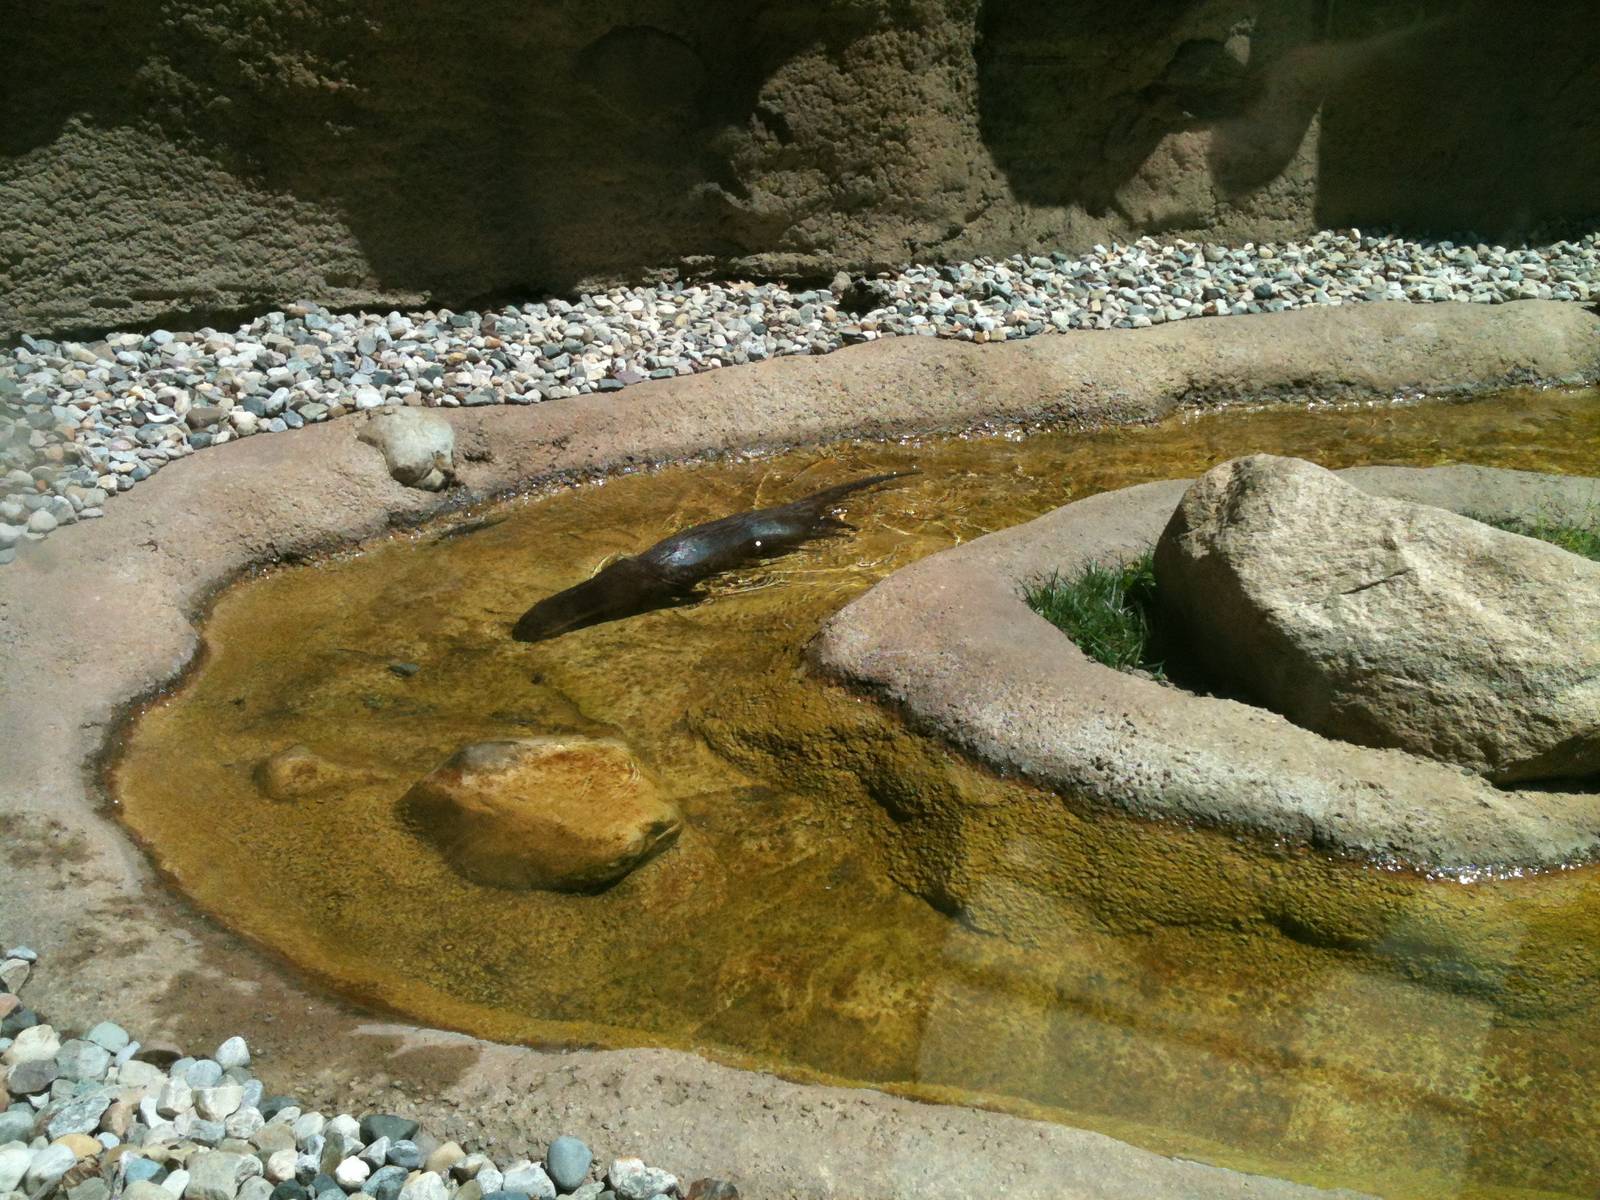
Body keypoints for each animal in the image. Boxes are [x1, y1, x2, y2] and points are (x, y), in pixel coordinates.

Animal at [511, 471, 912, 643]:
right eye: (526, 616)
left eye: (532, 626)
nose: (517, 633)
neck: (612, 586)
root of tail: (788, 507)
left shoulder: (650, 592)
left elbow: (681, 595)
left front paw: (700, 597)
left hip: (791, 530)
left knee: (820, 524)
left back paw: (848, 528)